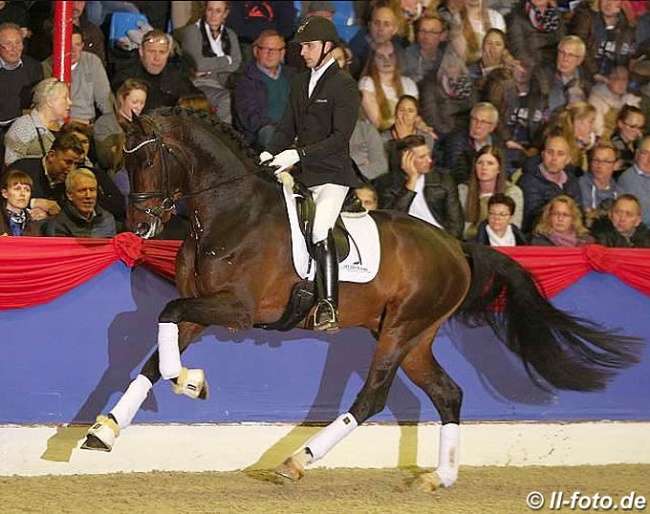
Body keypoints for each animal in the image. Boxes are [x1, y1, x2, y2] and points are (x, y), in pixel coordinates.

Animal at [81, 108, 636, 488]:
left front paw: (191, 384)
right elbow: (157, 352)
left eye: (149, 157)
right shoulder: (201, 306)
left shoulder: (235, 309)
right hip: (413, 337)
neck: (229, 213)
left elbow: (165, 321)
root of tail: (455, 245)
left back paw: (297, 461)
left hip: (400, 329)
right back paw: (439, 477)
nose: (140, 226)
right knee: (448, 394)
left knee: (373, 397)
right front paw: (105, 432)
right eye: (122, 158)